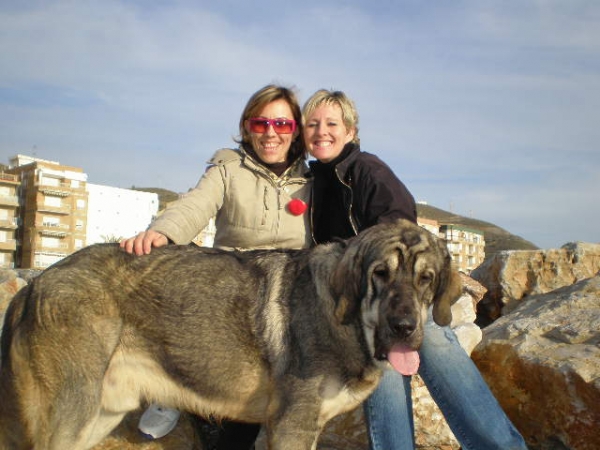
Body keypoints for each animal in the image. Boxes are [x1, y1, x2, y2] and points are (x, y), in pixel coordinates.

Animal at [0, 220, 462, 448]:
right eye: (379, 274)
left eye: (426, 279)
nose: (405, 328)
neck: (342, 320)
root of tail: (33, 284)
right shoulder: (291, 428)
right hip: (71, 416)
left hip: (100, 416)